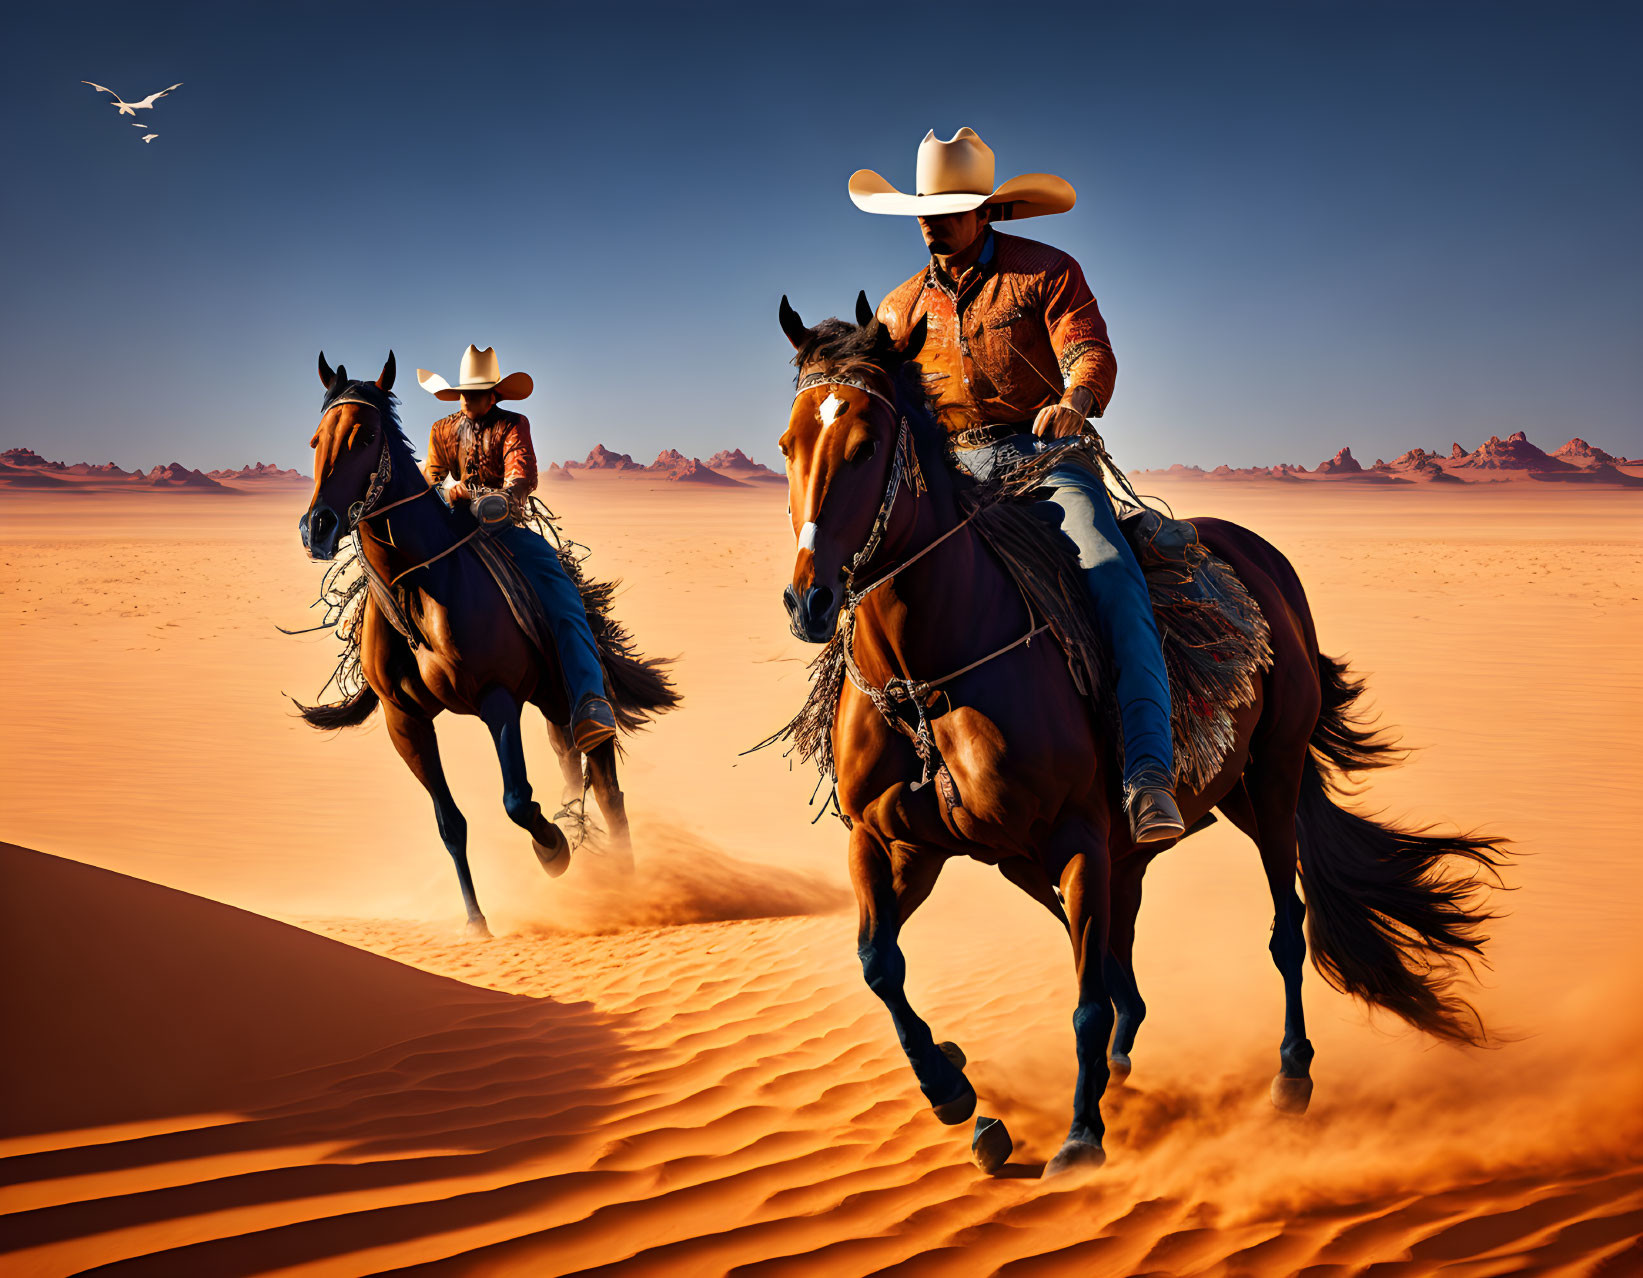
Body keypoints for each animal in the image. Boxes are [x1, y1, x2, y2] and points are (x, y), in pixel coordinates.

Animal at [300, 353, 673, 933]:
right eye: (317, 439)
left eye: (365, 437)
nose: (318, 526)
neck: (418, 589)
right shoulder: (404, 720)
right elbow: (450, 822)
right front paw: (477, 923)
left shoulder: (497, 698)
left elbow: (516, 799)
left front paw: (554, 851)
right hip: (550, 701)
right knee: (570, 768)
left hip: (574, 697)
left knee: (608, 787)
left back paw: (626, 885)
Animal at [775, 300, 1504, 1176]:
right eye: (787, 445)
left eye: (865, 445)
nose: (808, 601)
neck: (933, 677)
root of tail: (1265, 562)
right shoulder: (891, 843)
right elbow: (880, 965)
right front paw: (957, 1093)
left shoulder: (1075, 834)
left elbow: (1084, 998)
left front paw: (1079, 1136)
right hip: (1108, 836)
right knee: (1118, 936)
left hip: (1268, 780)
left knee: (1282, 926)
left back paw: (1289, 1076)